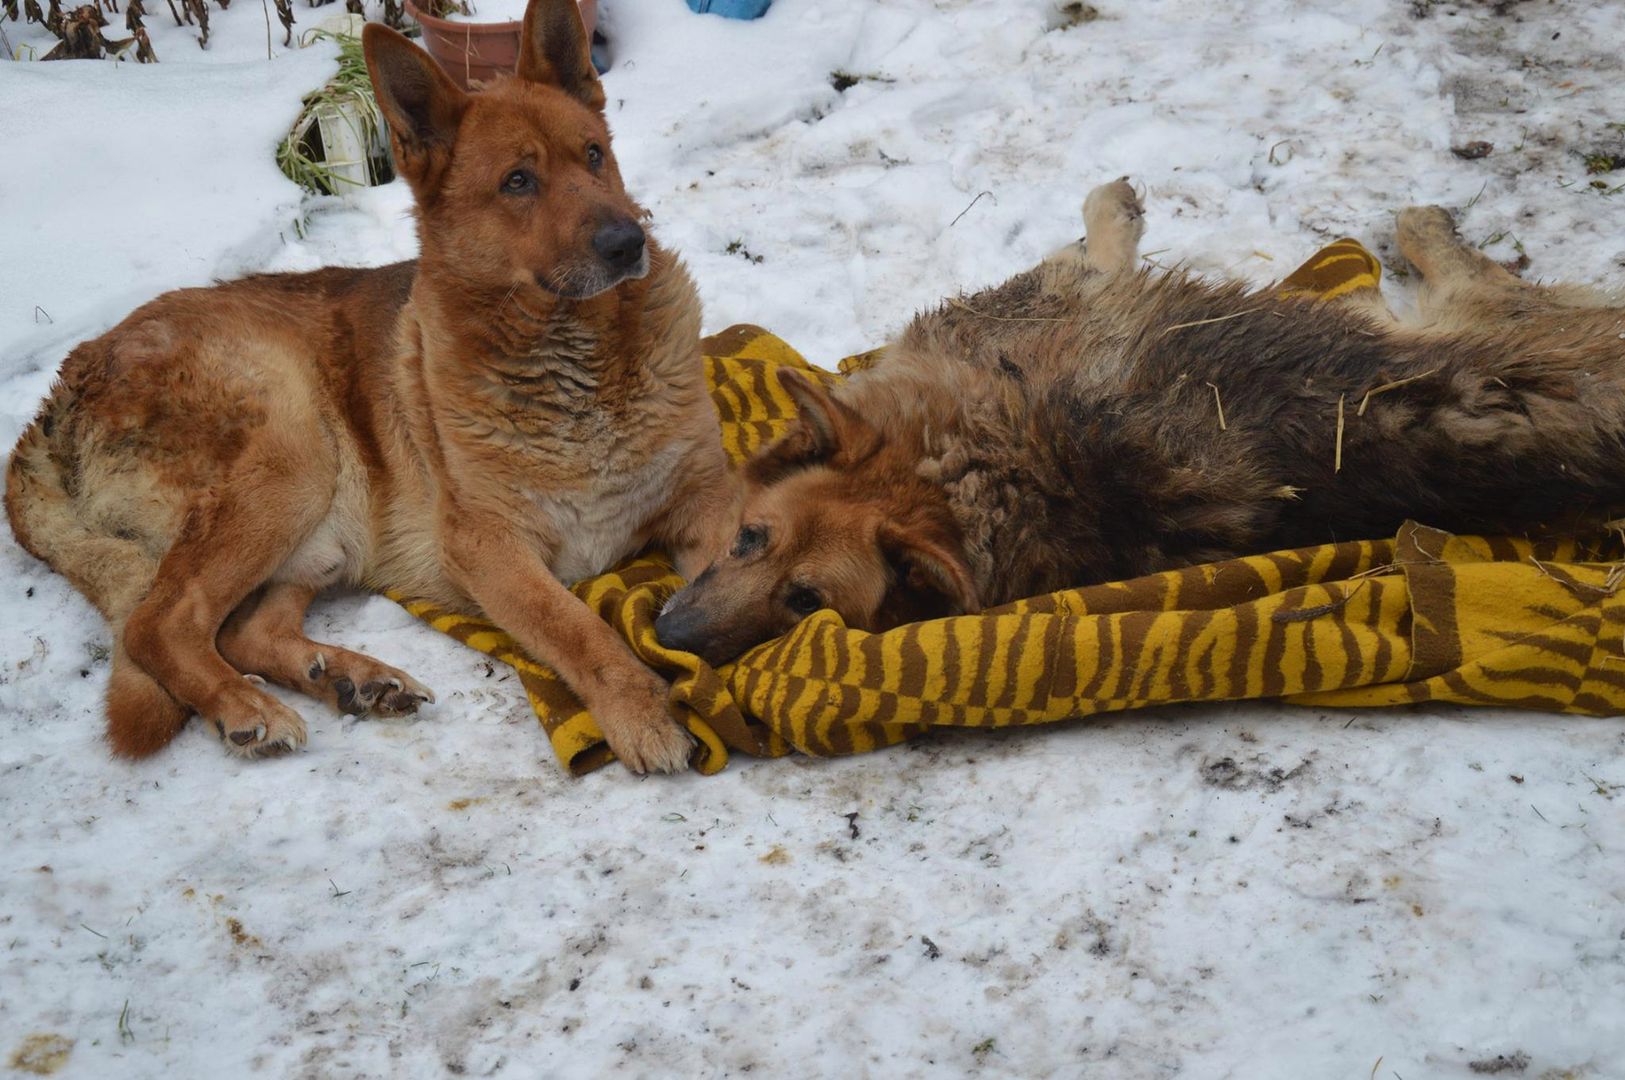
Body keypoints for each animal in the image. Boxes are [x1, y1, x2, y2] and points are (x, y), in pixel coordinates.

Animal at [4, 0, 737, 776]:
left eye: (594, 154)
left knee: (241, 632)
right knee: (160, 623)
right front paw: (639, 710)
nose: (628, 244)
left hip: (320, 528)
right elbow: (576, 628)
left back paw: (353, 678)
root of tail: (66, 385)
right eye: (517, 182)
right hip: (292, 454)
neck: (577, 361)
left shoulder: (706, 501)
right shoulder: (490, 547)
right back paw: (245, 706)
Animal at [656, 180, 1625, 662]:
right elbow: (1098, 248)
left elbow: (1092, 242)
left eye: (805, 601)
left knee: (1473, 275)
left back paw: (1417, 229)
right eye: (747, 540)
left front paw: (1112, 207)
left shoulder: (1046, 293)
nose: (670, 642)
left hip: (1492, 322)